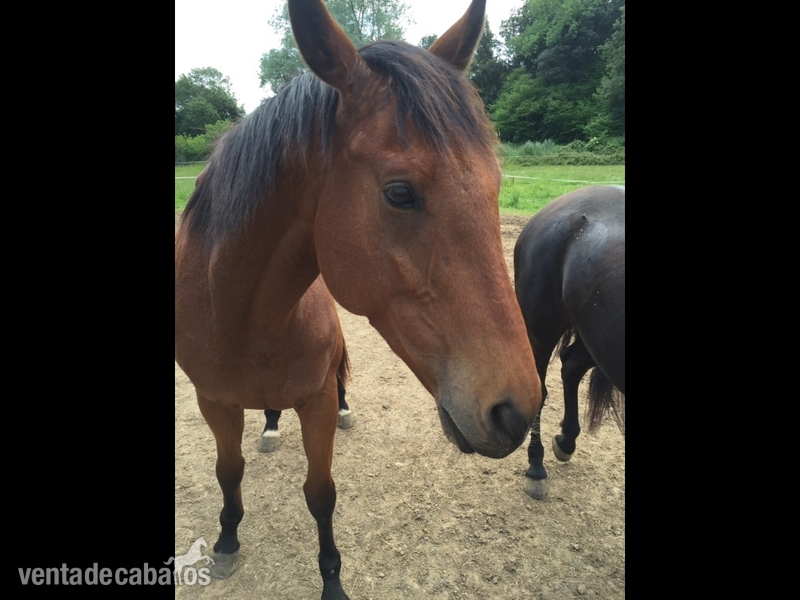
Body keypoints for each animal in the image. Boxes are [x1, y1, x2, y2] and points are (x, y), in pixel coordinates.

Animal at [174, 1, 541, 599]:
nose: (518, 410)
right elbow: (228, 473)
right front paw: (227, 541)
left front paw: (331, 579)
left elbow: (321, 493)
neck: (238, 314)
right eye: (399, 193)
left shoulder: (317, 401)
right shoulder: (214, 402)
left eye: (495, 184)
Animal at [513, 185, 625, 500]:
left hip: (596, 339)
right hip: (541, 328)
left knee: (571, 364)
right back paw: (536, 467)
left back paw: (566, 441)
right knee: (541, 388)